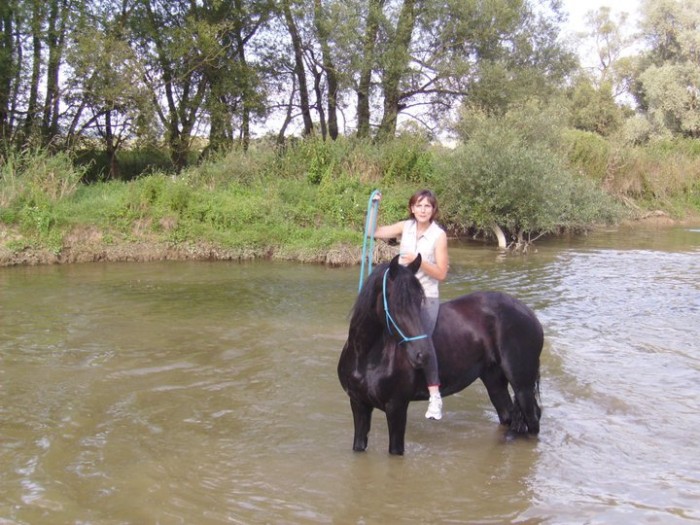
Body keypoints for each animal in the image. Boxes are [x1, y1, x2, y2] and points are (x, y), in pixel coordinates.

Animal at [336, 255, 544, 454]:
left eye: (419, 299)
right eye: (395, 302)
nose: (423, 354)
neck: (366, 357)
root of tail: (528, 313)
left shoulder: (396, 407)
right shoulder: (359, 405)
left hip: (522, 385)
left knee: (533, 421)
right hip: (494, 381)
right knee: (508, 415)